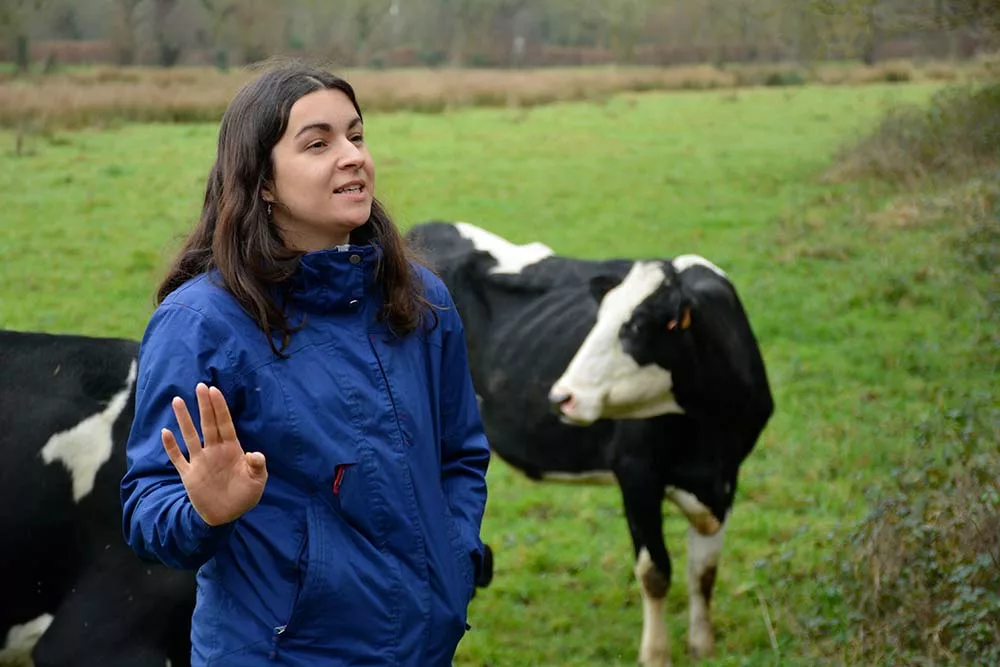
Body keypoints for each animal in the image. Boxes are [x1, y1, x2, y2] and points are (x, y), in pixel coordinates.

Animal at [404, 222, 772, 664]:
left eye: (637, 327)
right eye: (599, 320)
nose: (562, 396)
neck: (708, 434)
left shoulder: (726, 477)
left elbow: (704, 571)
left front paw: (702, 646)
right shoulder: (636, 473)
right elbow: (655, 572)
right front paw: (655, 654)